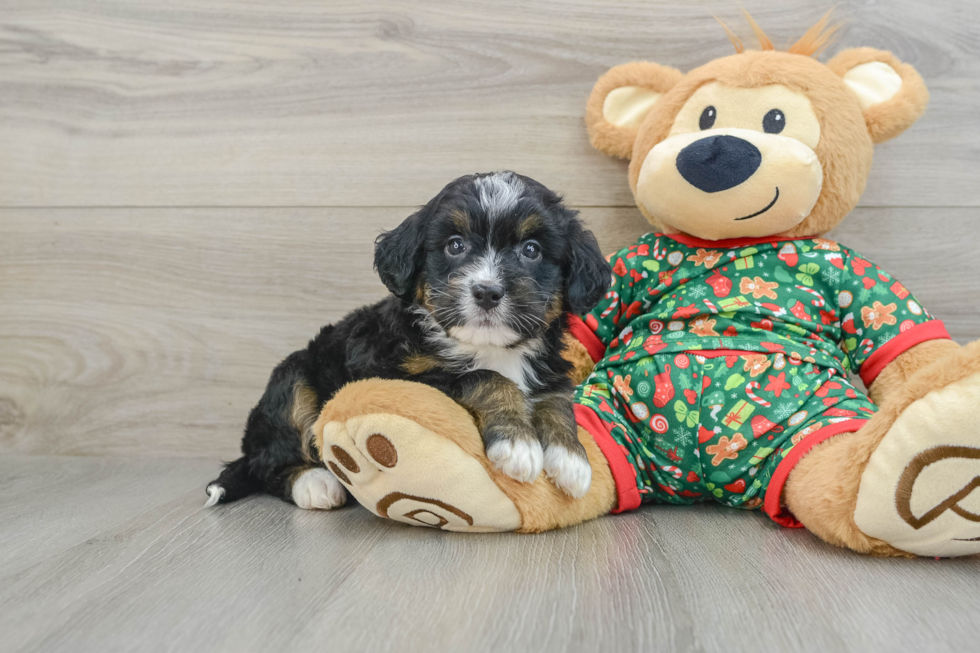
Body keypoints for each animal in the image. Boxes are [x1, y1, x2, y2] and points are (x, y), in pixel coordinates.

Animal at [203, 173, 608, 510]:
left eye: (532, 250)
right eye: (455, 246)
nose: (487, 291)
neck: (487, 348)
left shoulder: (551, 371)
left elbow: (557, 401)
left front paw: (571, 459)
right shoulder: (395, 374)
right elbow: (486, 378)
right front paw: (517, 443)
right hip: (293, 378)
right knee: (269, 460)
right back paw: (315, 484)